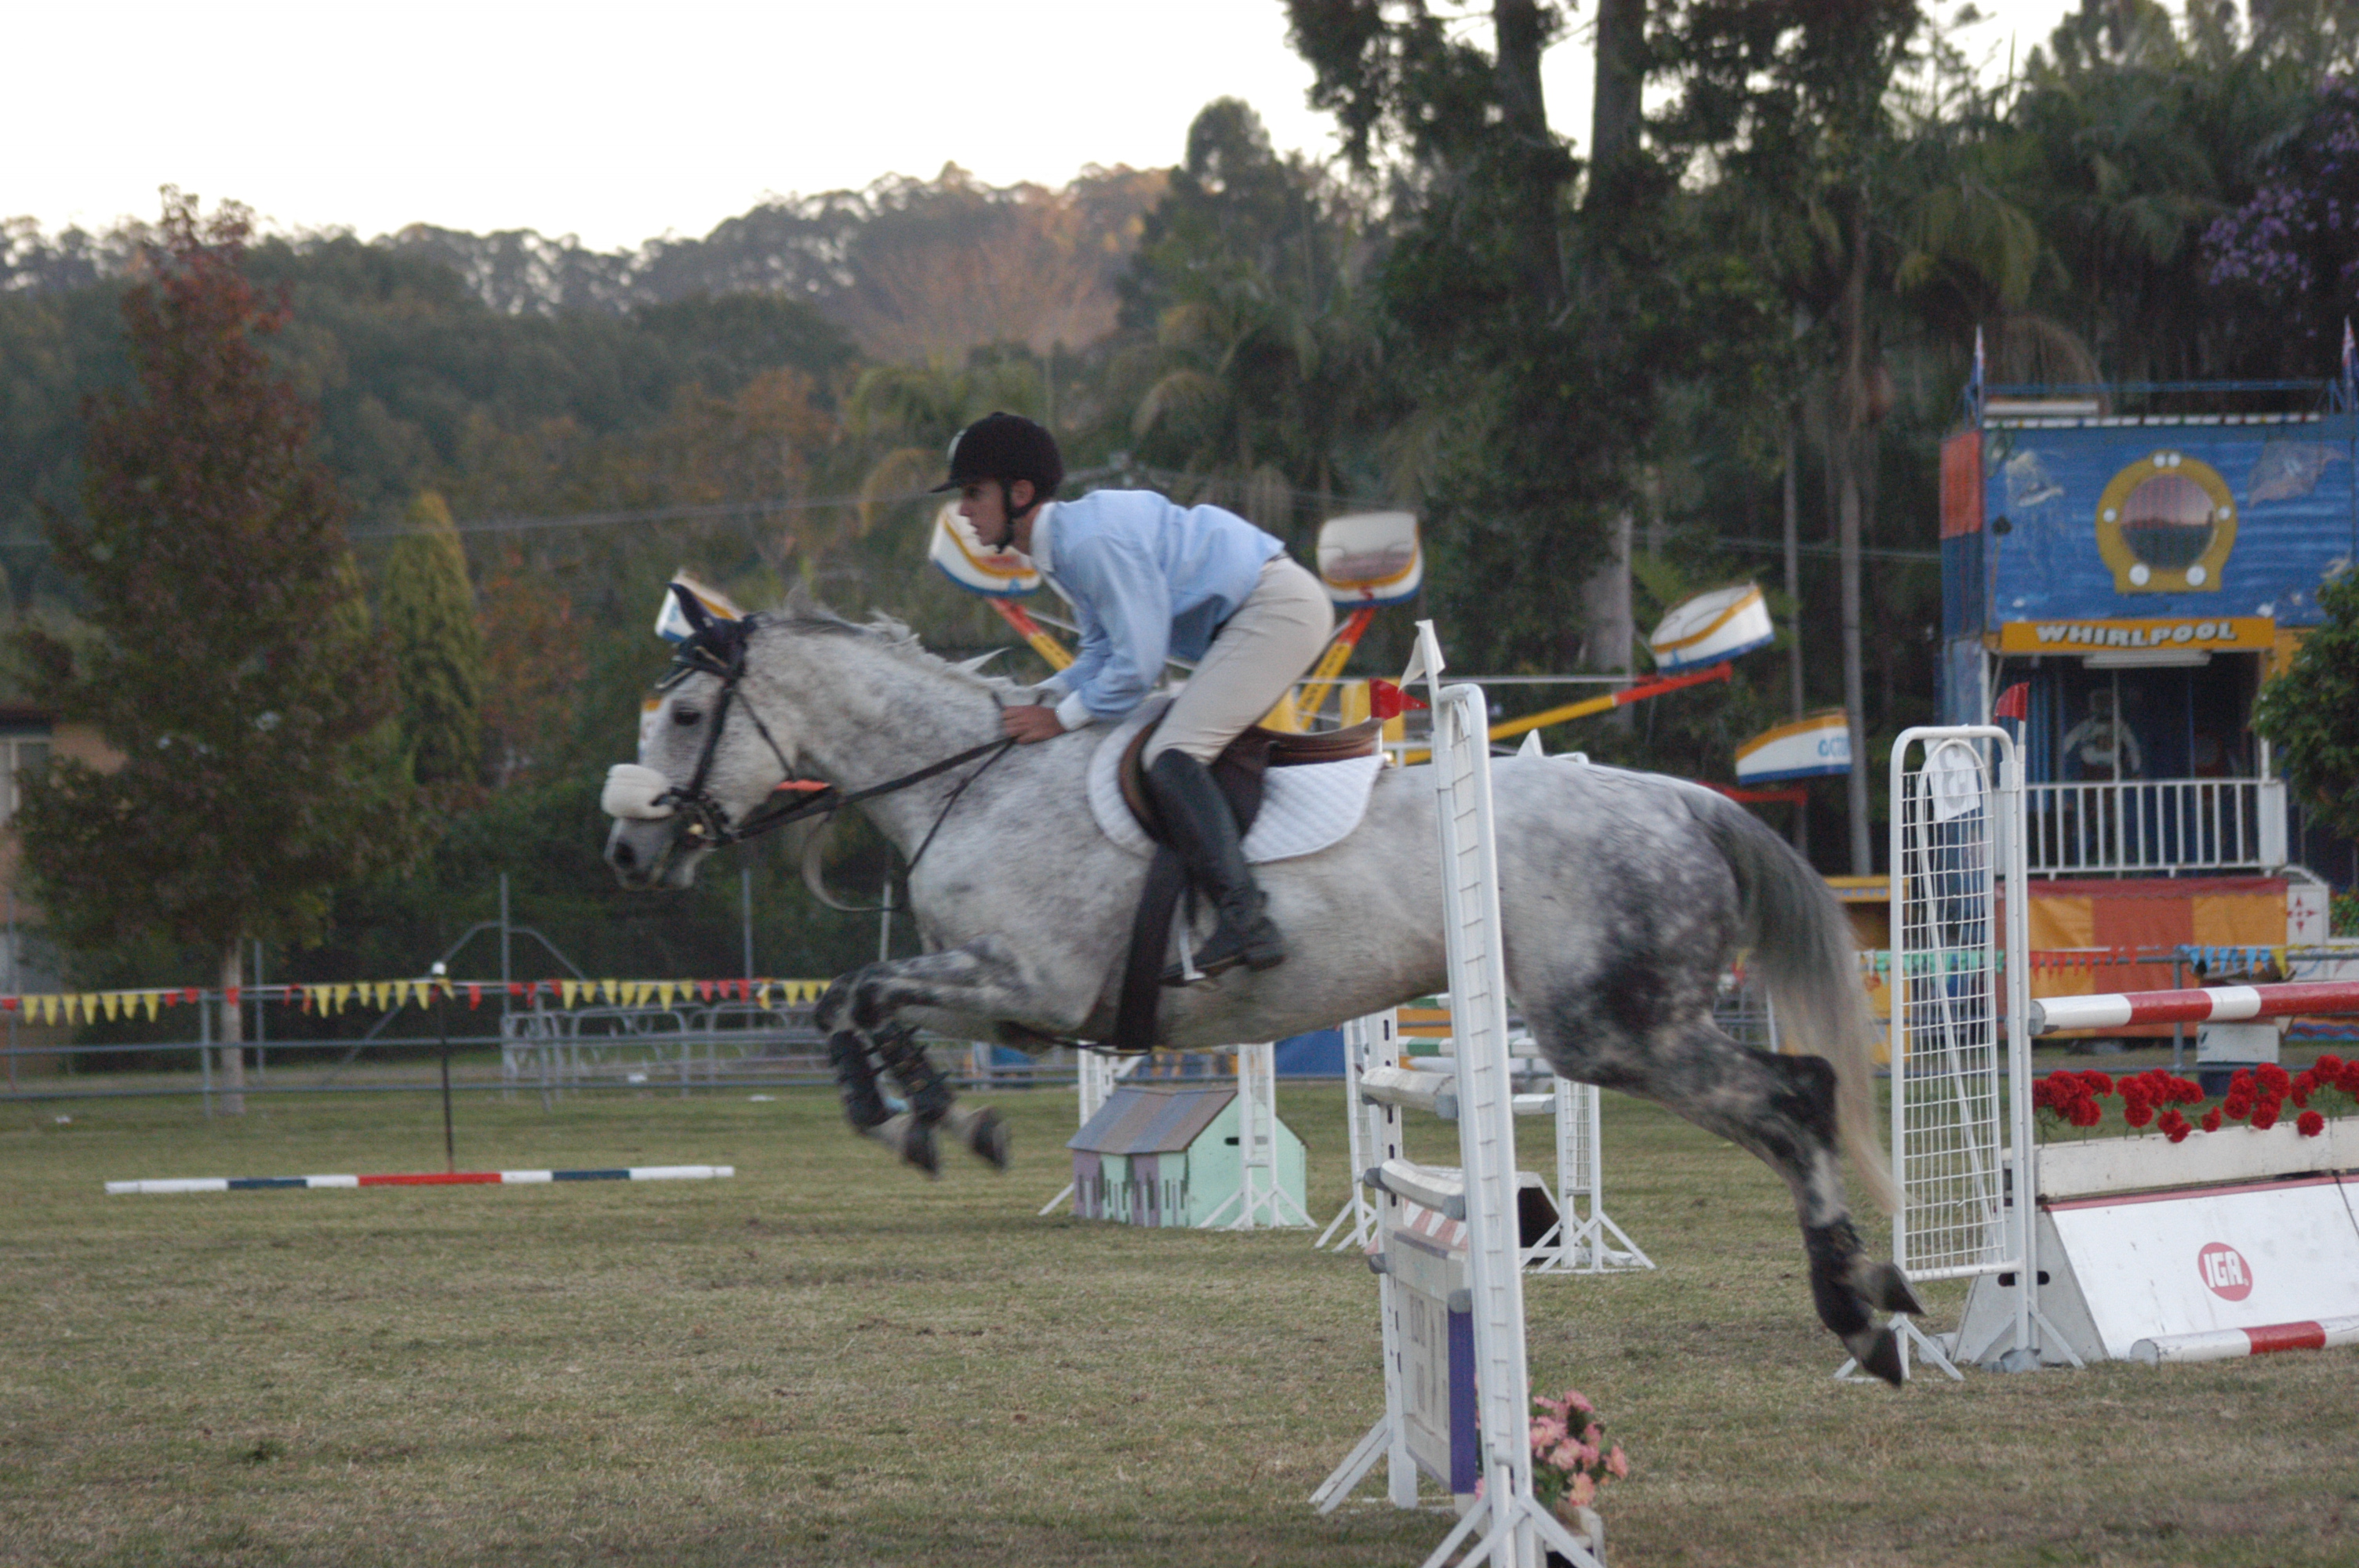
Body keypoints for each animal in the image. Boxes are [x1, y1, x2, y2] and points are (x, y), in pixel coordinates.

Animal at [599, 593, 1925, 1377]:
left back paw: (1860, 1310)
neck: (974, 780)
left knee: (1797, 1100)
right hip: (1630, 1027)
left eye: (688, 712)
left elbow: (864, 995)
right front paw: (937, 1120)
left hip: (1616, 1030)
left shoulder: (1031, 983)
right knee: (1795, 1101)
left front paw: (921, 1121)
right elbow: (856, 1000)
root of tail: (1683, 802)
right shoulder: (1009, 1000)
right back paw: (1882, 1293)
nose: (626, 851)